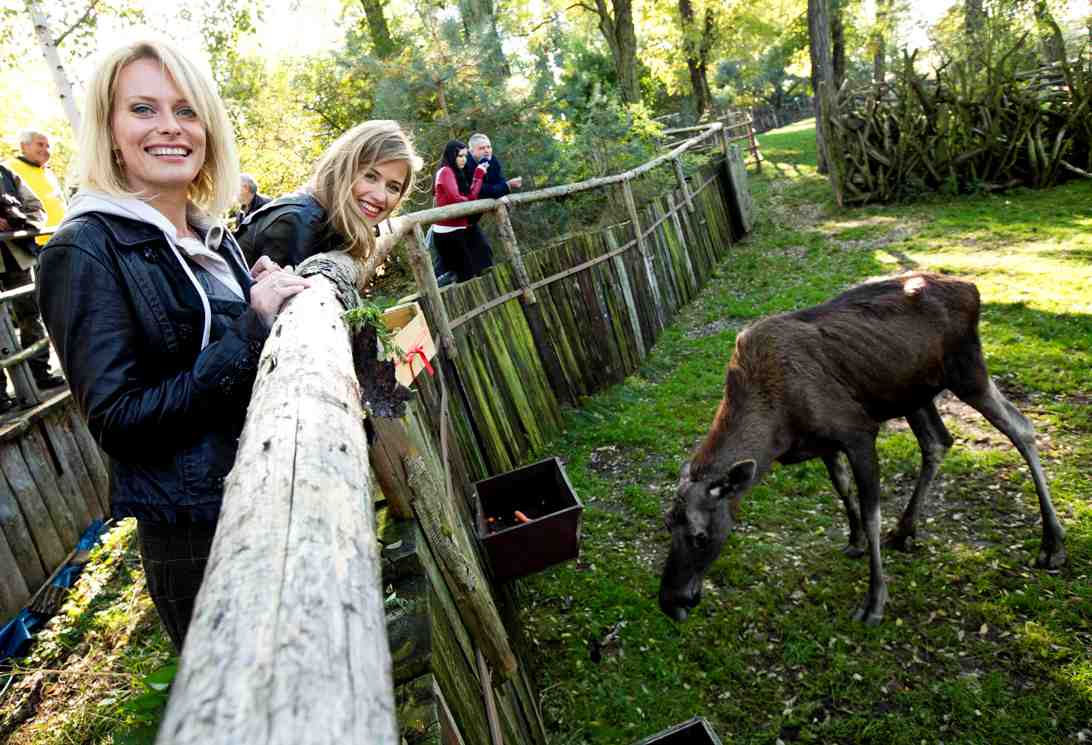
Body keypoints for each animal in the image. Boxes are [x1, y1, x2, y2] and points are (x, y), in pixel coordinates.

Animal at [655, 270, 1065, 620]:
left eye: (700, 536)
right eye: (667, 524)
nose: (670, 602)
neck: (778, 430)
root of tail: (973, 288)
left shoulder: (859, 431)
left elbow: (871, 513)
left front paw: (874, 600)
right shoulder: (824, 442)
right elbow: (842, 488)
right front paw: (855, 541)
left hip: (967, 370)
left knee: (1021, 427)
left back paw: (1052, 543)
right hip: (913, 394)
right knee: (938, 441)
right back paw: (905, 530)